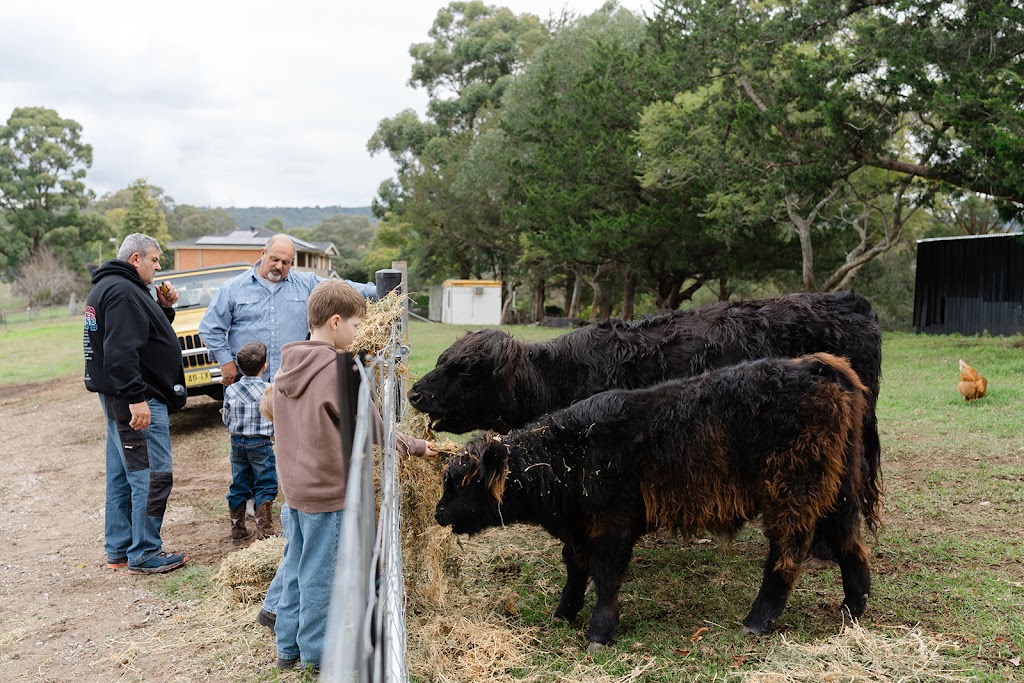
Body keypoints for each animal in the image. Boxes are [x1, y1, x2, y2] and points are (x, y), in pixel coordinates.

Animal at [435, 353, 872, 650]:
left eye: (461, 484)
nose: (438, 514)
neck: (570, 452)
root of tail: (814, 366)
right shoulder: (578, 528)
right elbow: (576, 569)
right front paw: (563, 613)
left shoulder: (614, 525)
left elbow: (605, 575)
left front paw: (599, 632)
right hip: (837, 490)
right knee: (850, 543)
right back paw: (853, 607)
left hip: (790, 494)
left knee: (787, 556)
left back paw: (758, 619)